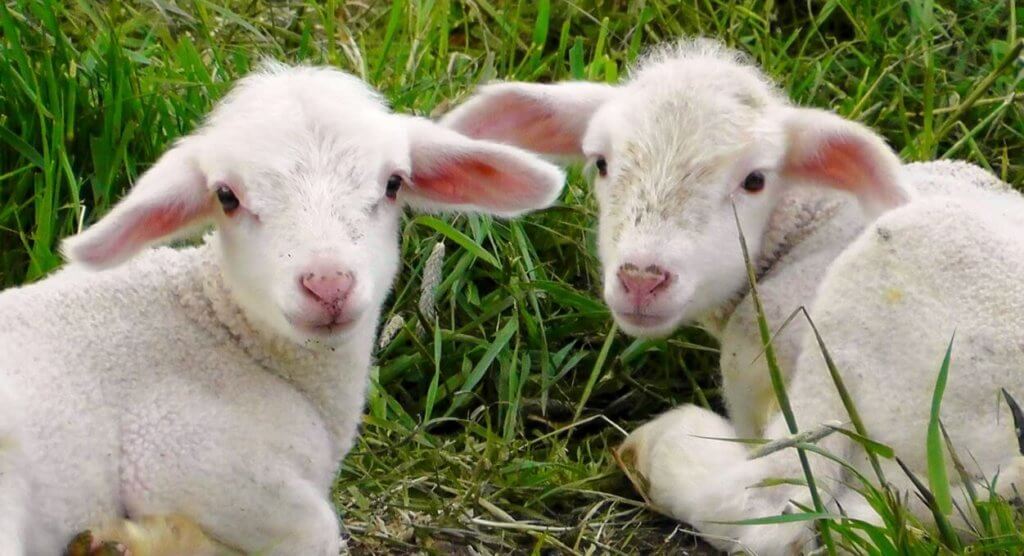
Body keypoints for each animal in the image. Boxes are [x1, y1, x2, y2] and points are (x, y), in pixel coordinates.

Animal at [0, 61, 569, 556]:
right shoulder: (178, 450)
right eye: (226, 196)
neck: (224, 327)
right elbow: (314, 530)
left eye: (392, 184)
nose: (328, 284)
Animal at [446, 39, 1024, 552]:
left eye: (755, 180)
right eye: (601, 164)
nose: (642, 278)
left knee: (773, 505)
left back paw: (660, 444)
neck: (808, 223)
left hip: (868, 330)